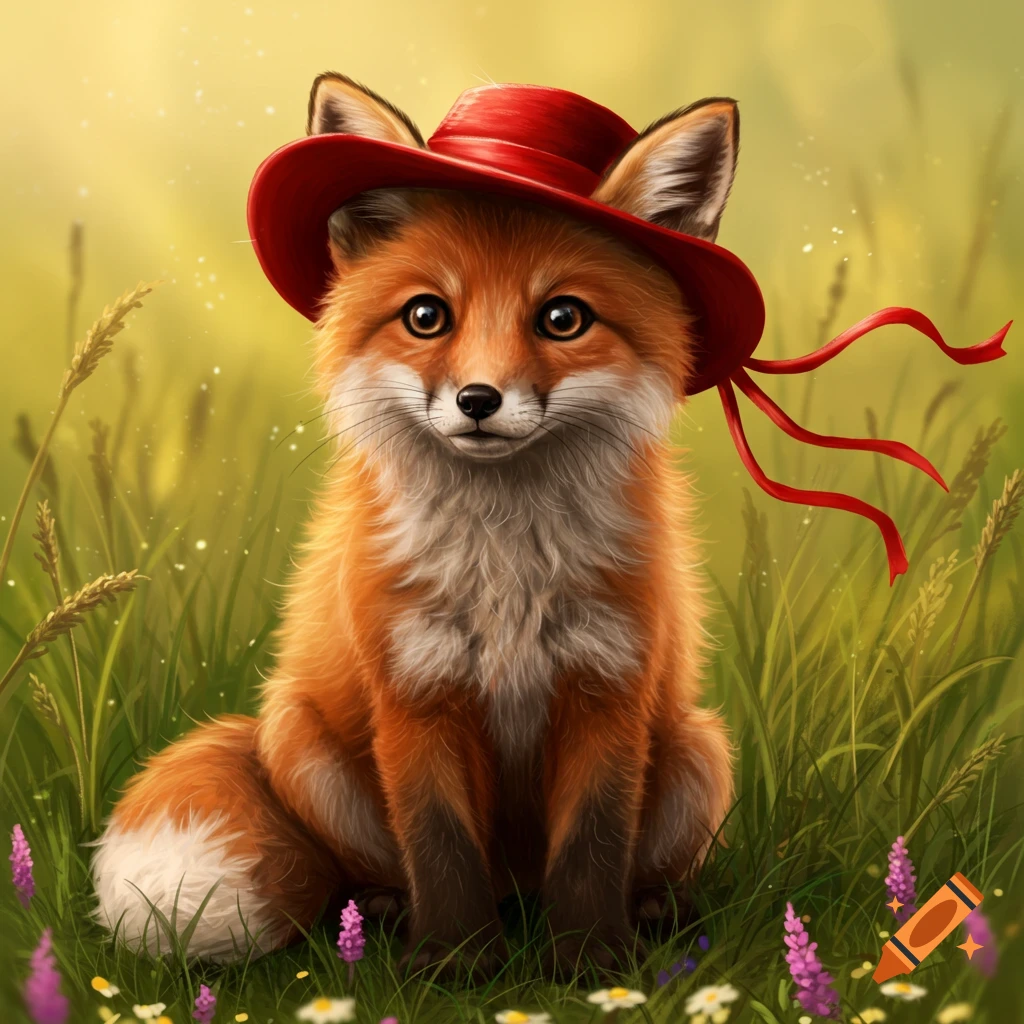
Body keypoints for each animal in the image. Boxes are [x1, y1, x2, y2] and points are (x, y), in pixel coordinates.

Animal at [92, 73, 737, 976]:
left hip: (699, 752)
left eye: (563, 318)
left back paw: (654, 914)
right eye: (427, 316)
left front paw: (590, 967)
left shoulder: (607, 690)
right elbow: (440, 843)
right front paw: (456, 969)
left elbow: (591, 846)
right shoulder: (415, 692)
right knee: (380, 868)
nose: (478, 399)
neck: (505, 572)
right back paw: (384, 918)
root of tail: (517, 887)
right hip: (300, 740)